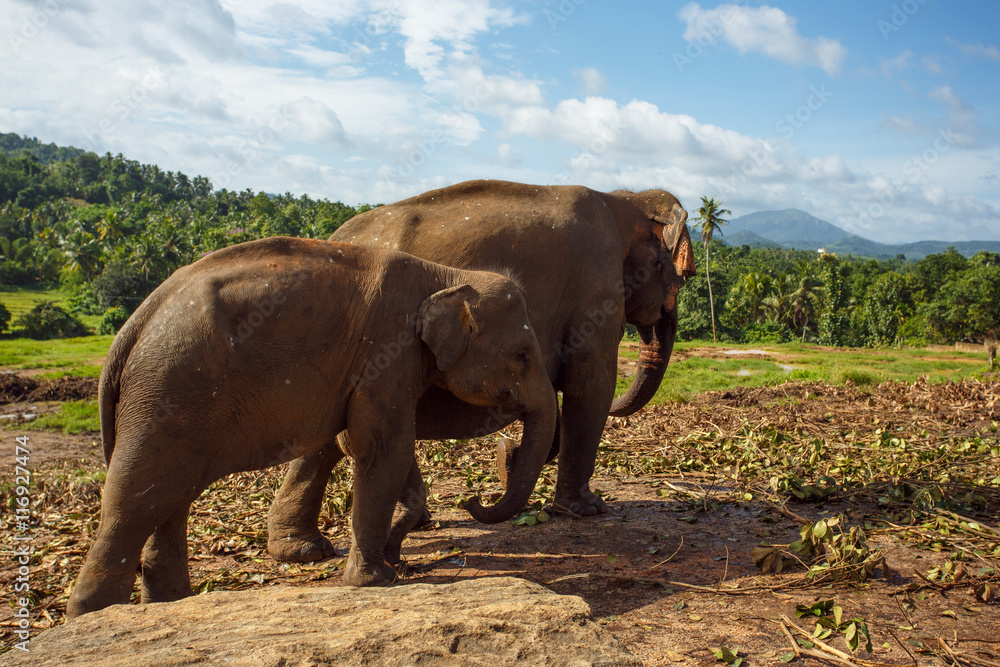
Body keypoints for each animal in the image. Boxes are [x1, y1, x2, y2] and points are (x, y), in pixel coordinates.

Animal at [66, 236, 557, 618]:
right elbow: (382, 446)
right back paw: (95, 618)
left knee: (168, 500)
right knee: (133, 503)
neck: (444, 275)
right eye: (521, 356)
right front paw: (376, 580)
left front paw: (389, 557)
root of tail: (132, 326)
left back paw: (172, 606)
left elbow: (377, 445)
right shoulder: (386, 351)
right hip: (165, 393)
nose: (472, 500)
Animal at [267, 180, 697, 563]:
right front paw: (587, 509)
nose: (505, 452)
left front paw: (515, 462)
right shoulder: (595, 287)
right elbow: (590, 386)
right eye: (683, 277)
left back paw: (306, 548)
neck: (622, 199)